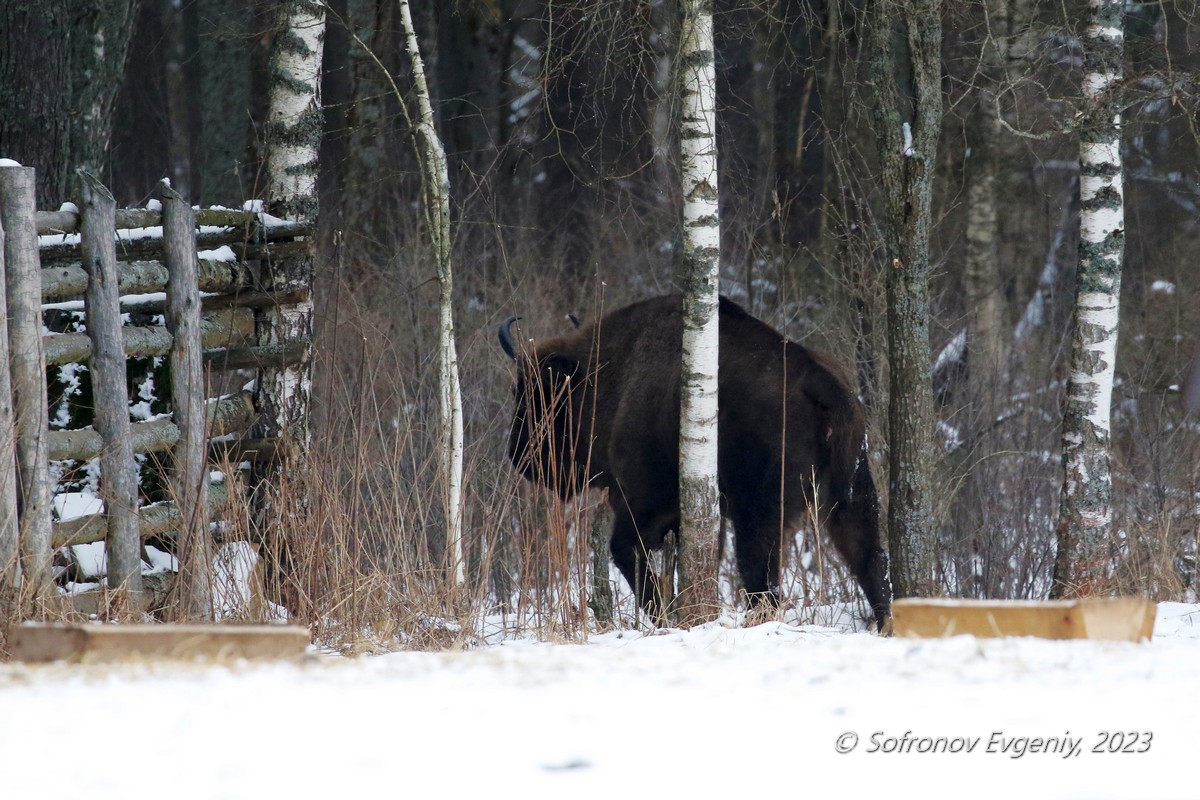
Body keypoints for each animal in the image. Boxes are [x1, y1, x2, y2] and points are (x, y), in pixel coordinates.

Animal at [496, 293, 892, 633]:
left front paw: (665, 616)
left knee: (762, 582)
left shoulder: (645, 505)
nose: (519, 454)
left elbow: (627, 554)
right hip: (852, 498)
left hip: (760, 516)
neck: (611, 372)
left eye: (536, 394)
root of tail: (822, 384)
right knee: (870, 561)